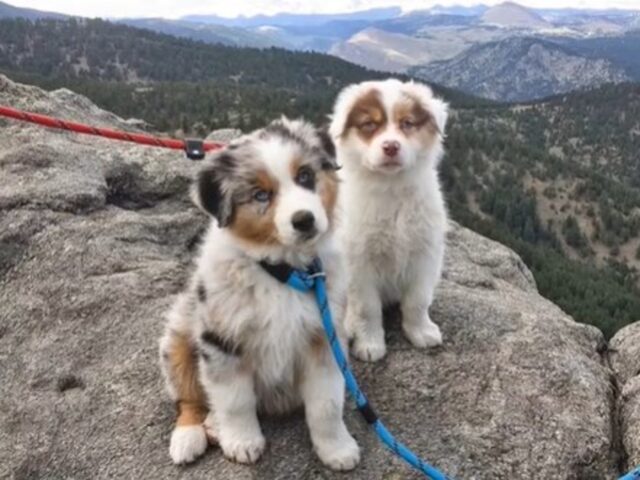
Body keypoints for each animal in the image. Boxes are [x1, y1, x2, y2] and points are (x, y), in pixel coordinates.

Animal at [159, 118, 360, 470]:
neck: (283, 271)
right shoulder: (220, 338)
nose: (304, 220)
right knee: (189, 398)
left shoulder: (325, 338)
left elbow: (326, 404)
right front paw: (242, 442)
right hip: (179, 336)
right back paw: (191, 435)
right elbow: (235, 400)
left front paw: (337, 449)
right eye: (260, 195)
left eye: (305, 176)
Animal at [330, 79, 450, 362]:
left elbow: (417, 300)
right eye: (369, 125)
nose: (391, 146)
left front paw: (421, 332)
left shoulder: (425, 254)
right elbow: (367, 308)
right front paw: (370, 344)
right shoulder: (359, 262)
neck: (391, 188)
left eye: (407, 123)